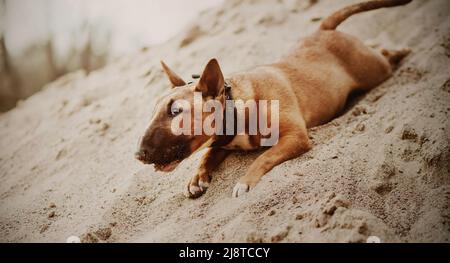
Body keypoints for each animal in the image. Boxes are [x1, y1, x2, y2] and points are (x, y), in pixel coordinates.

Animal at [136, 0, 412, 198]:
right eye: (152, 110)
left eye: (175, 111)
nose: (138, 155)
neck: (237, 106)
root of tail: (322, 29)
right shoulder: (221, 143)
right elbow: (207, 156)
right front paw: (196, 178)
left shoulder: (295, 137)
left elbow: (263, 157)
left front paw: (245, 182)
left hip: (374, 71)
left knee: (385, 56)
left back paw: (400, 51)